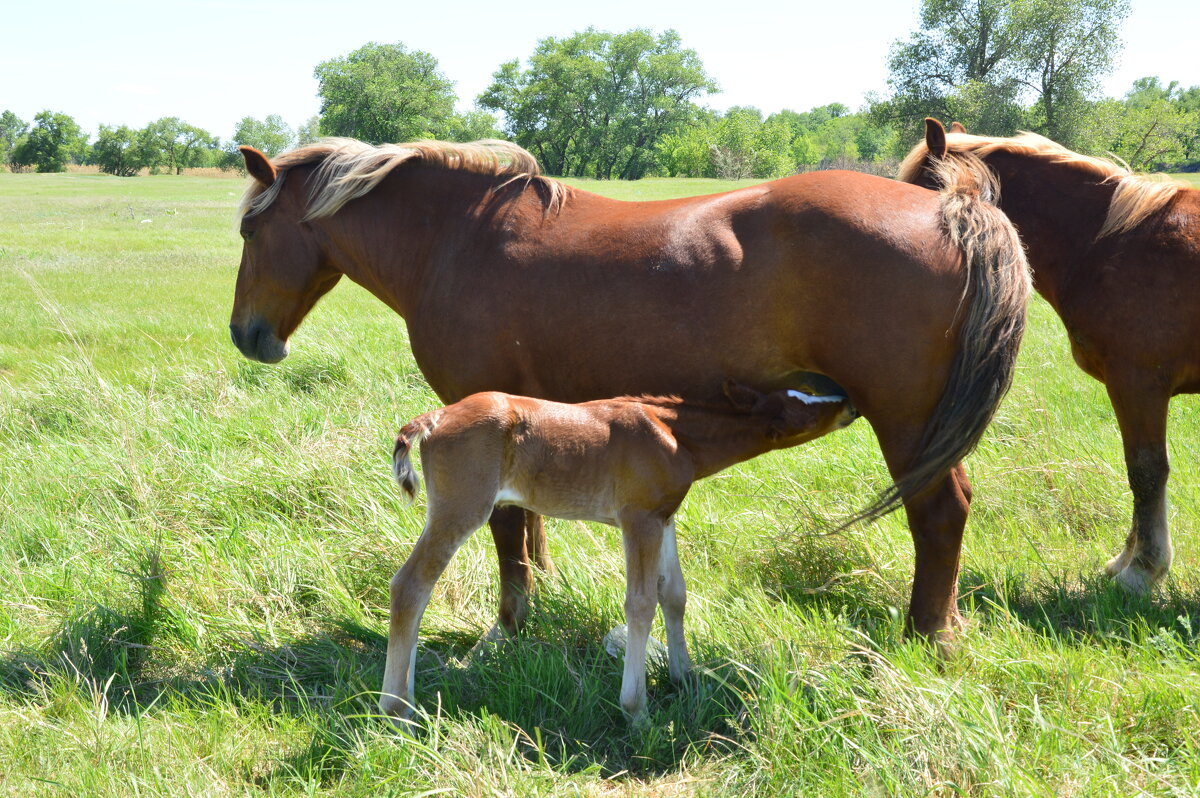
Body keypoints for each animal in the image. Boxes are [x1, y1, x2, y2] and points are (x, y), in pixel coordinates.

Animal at [231, 136, 1032, 648]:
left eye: (249, 231)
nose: (247, 334)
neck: (456, 239)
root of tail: (953, 210)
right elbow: (528, 519)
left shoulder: (484, 412)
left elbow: (505, 531)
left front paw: (509, 626)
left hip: (907, 423)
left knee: (940, 514)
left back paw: (930, 635)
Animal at [379, 384, 859, 724]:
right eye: (801, 407)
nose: (848, 401)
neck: (675, 435)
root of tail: (434, 417)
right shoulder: (638, 519)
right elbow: (641, 604)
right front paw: (637, 709)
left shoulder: (664, 518)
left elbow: (674, 594)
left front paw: (685, 677)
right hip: (462, 507)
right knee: (410, 587)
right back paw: (397, 710)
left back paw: (408, 697)